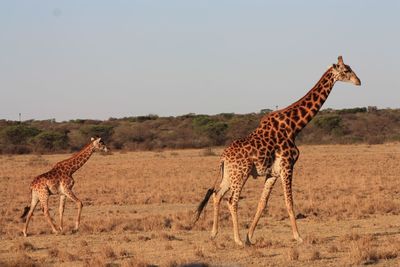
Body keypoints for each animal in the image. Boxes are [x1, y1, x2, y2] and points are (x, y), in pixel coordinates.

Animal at [194, 56, 362, 247]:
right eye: (346, 70)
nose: (359, 81)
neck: (294, 127)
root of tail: (222, 157)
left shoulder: (273, 172)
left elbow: (262, 203)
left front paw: (250, 236)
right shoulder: (287, 165)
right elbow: (289, 202)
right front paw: (298, 237)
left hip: (230, 174)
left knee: (217, 195)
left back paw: (214, 234)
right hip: (241, 173)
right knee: (231, 201)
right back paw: (237, 240)